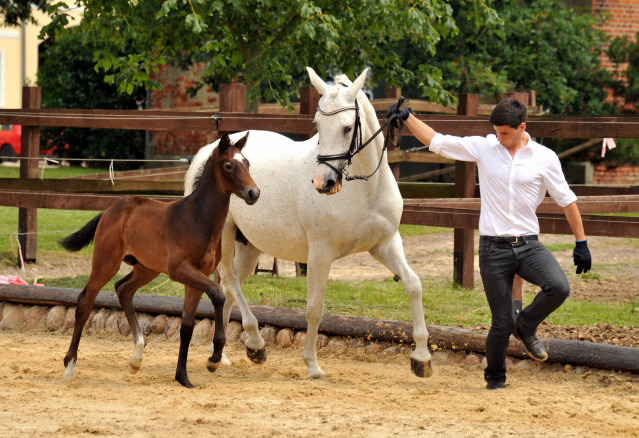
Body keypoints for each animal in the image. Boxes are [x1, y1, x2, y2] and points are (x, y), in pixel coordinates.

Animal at [185, 66, 432, 378]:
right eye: (317, 125)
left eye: (347, 128)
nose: (323, 183)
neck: (365, 189)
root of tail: (209, 153)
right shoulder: (320, 254)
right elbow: (314, 308)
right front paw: (312, 365)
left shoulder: (385, 244)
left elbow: (413, 284)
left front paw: (422, 358)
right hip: (226, 236)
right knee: (229, 281)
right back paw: (255, 342)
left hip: (250, 246)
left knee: (231, 287)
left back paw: (224, 355)